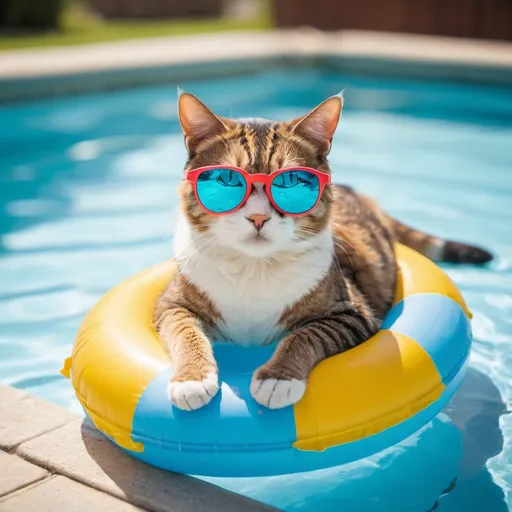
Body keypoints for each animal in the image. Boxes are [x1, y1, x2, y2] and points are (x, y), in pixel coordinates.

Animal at [155, 92, 492, 412]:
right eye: (227, 179)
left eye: (290, 182)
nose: (258, 218)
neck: (254, 267)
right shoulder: (170, 304)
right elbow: (184, 329)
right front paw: (192, 379)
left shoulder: (352, 313)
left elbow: (306, 334)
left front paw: (278, 378)